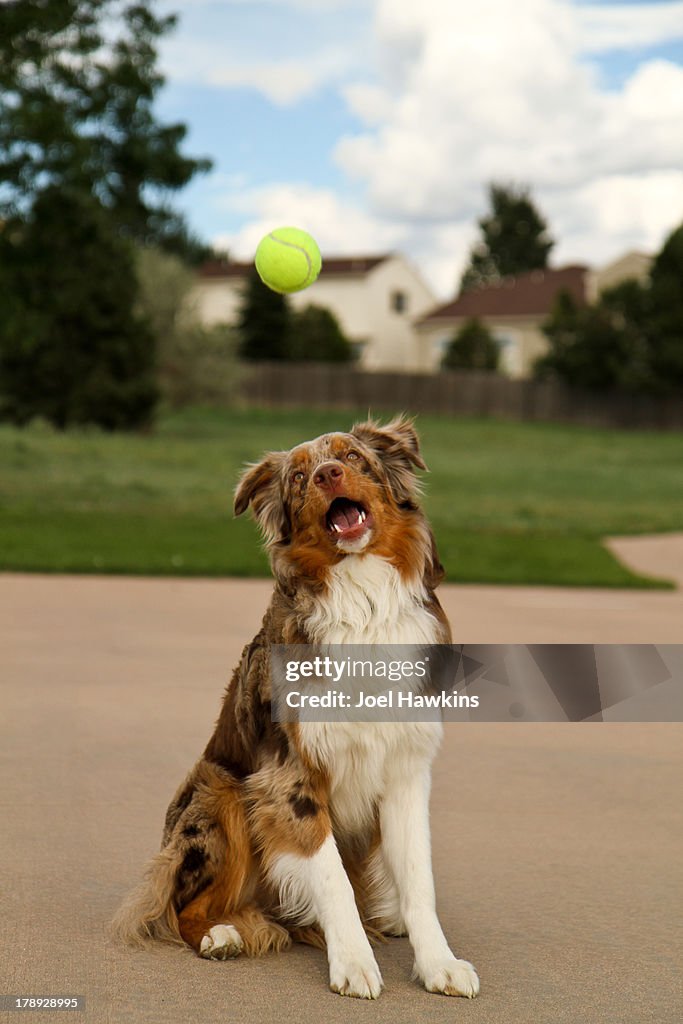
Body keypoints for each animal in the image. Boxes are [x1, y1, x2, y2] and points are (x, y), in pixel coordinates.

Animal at [111, 415, 481, 999]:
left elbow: (420, 880)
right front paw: (353, 963)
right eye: (301, 477)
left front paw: (439, 963)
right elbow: (332, 879)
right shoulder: (290, 776)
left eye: (352, 457)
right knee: (177, 905)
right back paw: (220, 934)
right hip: (221, 791)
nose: (328, 474)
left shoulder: (406, 767)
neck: (362, 599)